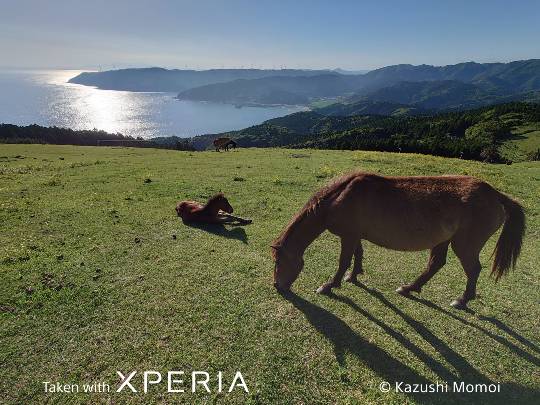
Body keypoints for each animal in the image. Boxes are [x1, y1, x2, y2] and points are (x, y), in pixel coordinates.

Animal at [272, 171, 524, 310]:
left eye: (278, 261)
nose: (277, 286)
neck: (339, 198)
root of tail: (496, 195)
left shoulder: (349, 235)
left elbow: (343, 260)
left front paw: (329, 285)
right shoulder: (355, 234)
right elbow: (358, 254)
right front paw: (353, 276)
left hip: (464, 245)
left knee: (473, 269)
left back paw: (462, 300)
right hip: (444, 240)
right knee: (436, 264)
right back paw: (409, 288)